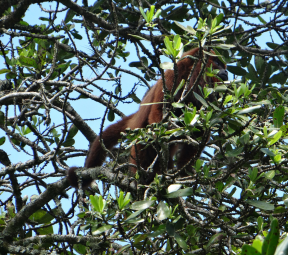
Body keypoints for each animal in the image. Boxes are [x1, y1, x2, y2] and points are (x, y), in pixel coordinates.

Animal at [67, 47, 227, 187]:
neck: (192, 77)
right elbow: (158, 112)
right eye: (218, 62)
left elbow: (200, 131)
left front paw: (185, 169)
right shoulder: (172, 76)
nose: (226, 72)